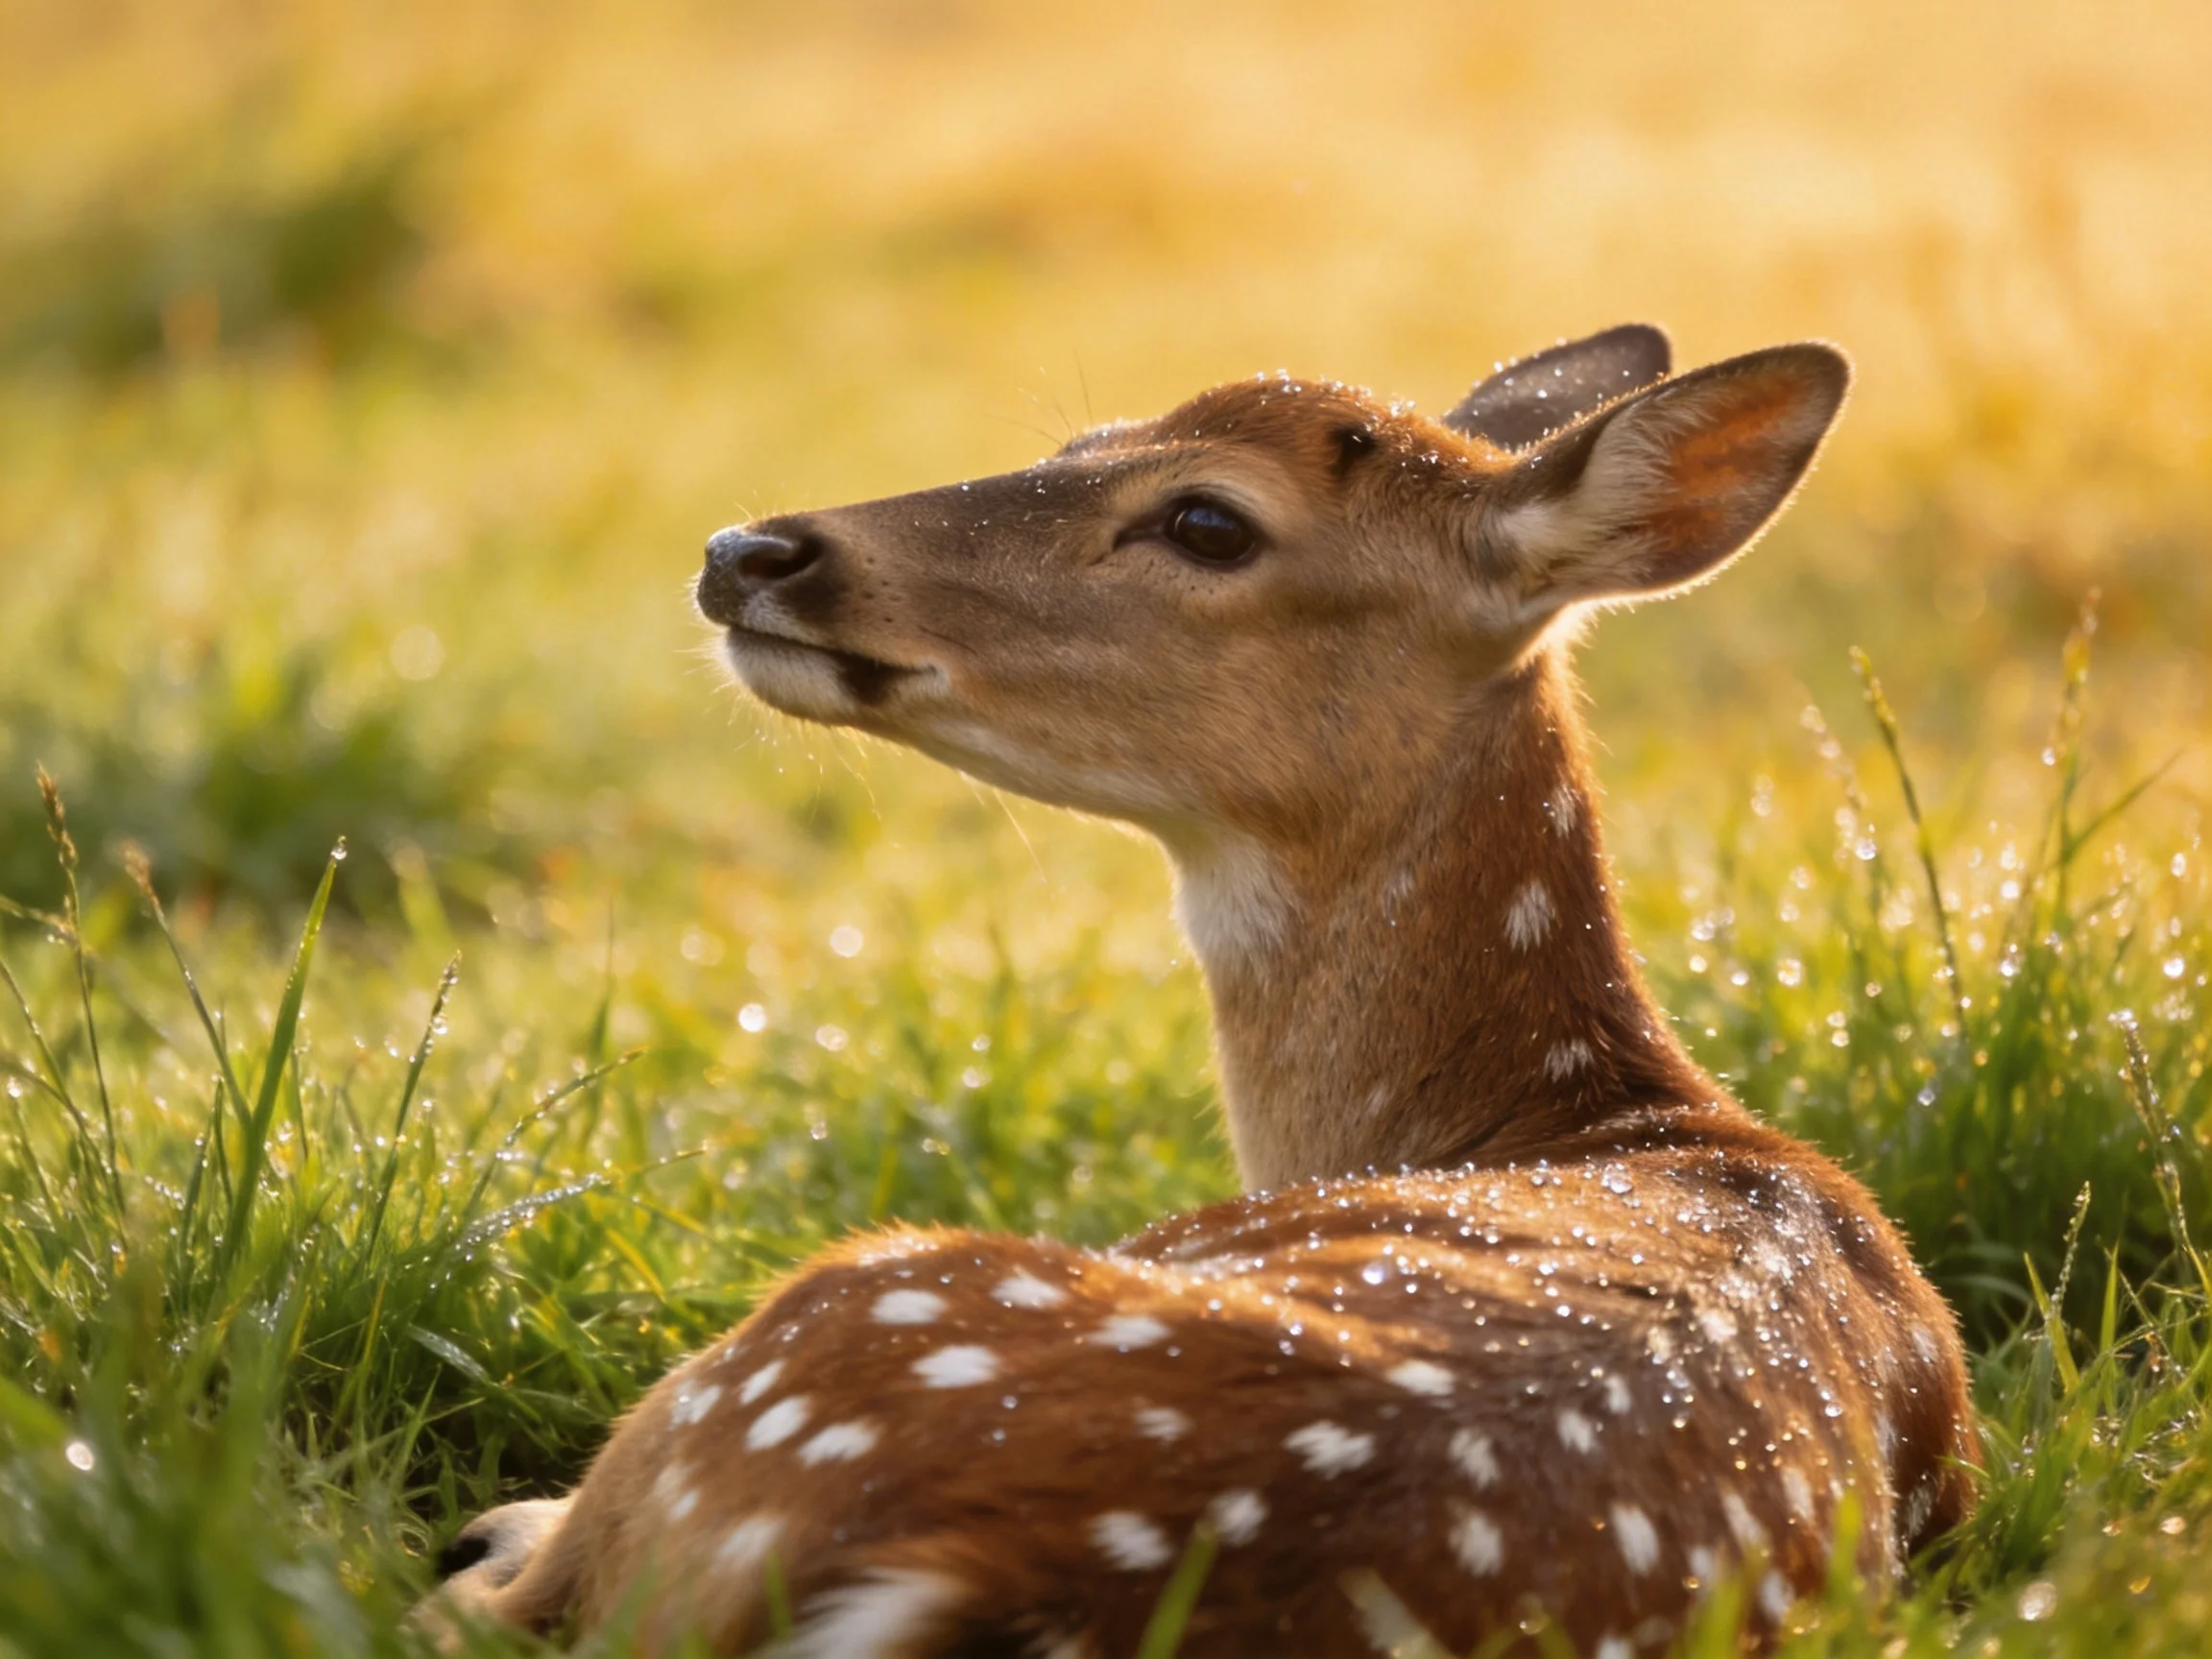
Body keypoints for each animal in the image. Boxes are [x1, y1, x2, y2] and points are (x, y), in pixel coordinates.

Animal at [420, 325, 1977, 1657]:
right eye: (1081, 440)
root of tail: (982, 1579)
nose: (752, 548)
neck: (1591, 1113)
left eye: (1207, 522)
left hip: (826, 1314)